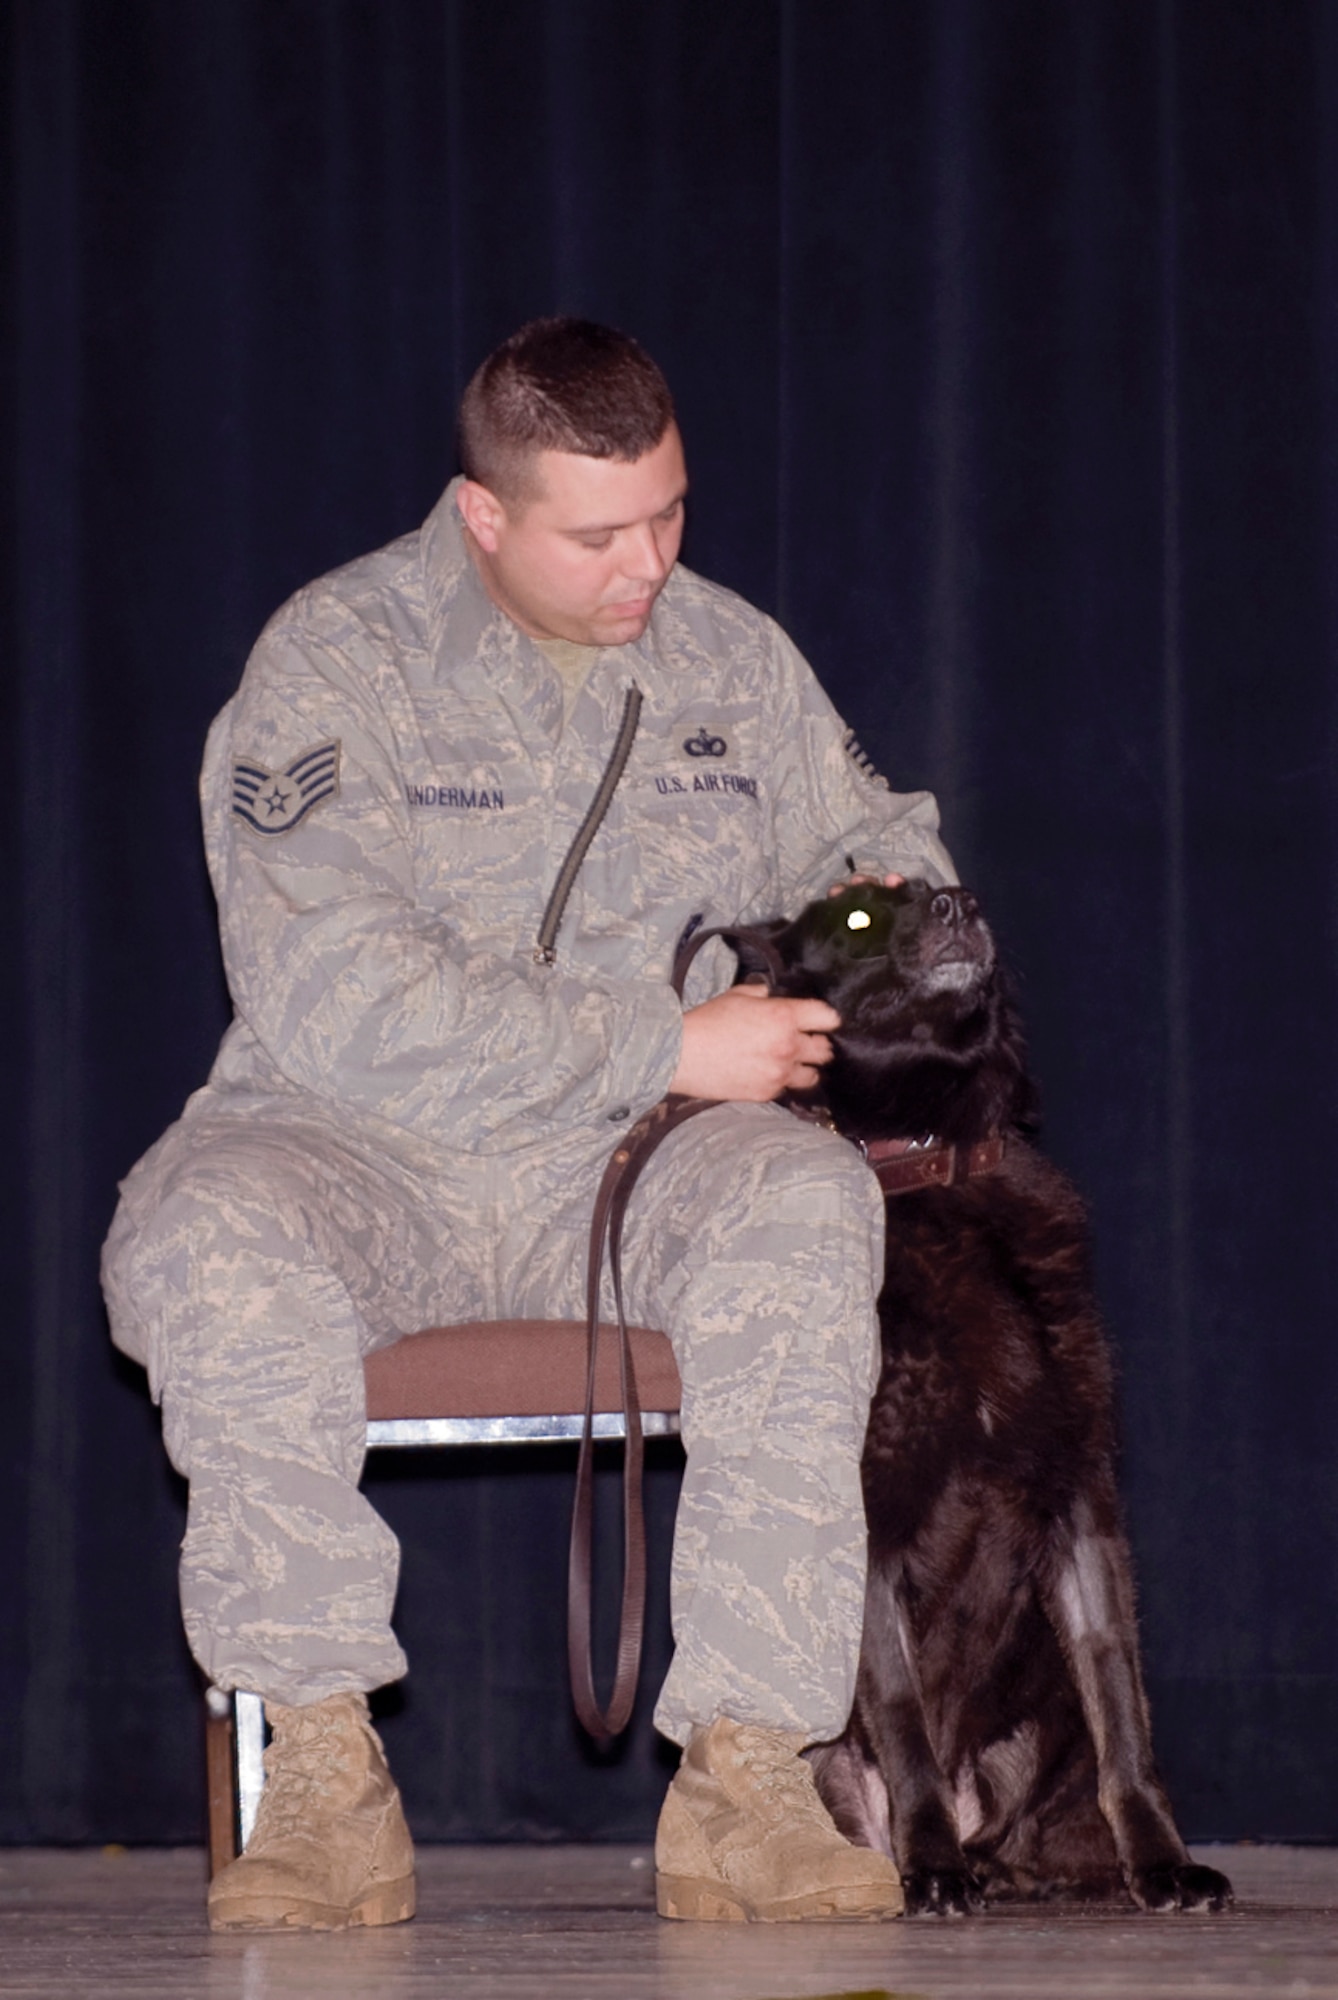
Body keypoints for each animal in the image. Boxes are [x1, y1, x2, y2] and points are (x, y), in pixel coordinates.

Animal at [740, 884, 1232, 1912]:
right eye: (854, 919)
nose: (955, 899)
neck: (938, 1159)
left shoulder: (1081, 1498)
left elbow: (1122, 1701)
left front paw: (1163, 1862)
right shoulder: (868, 1522)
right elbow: (900, 1711)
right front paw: (930, 1866)